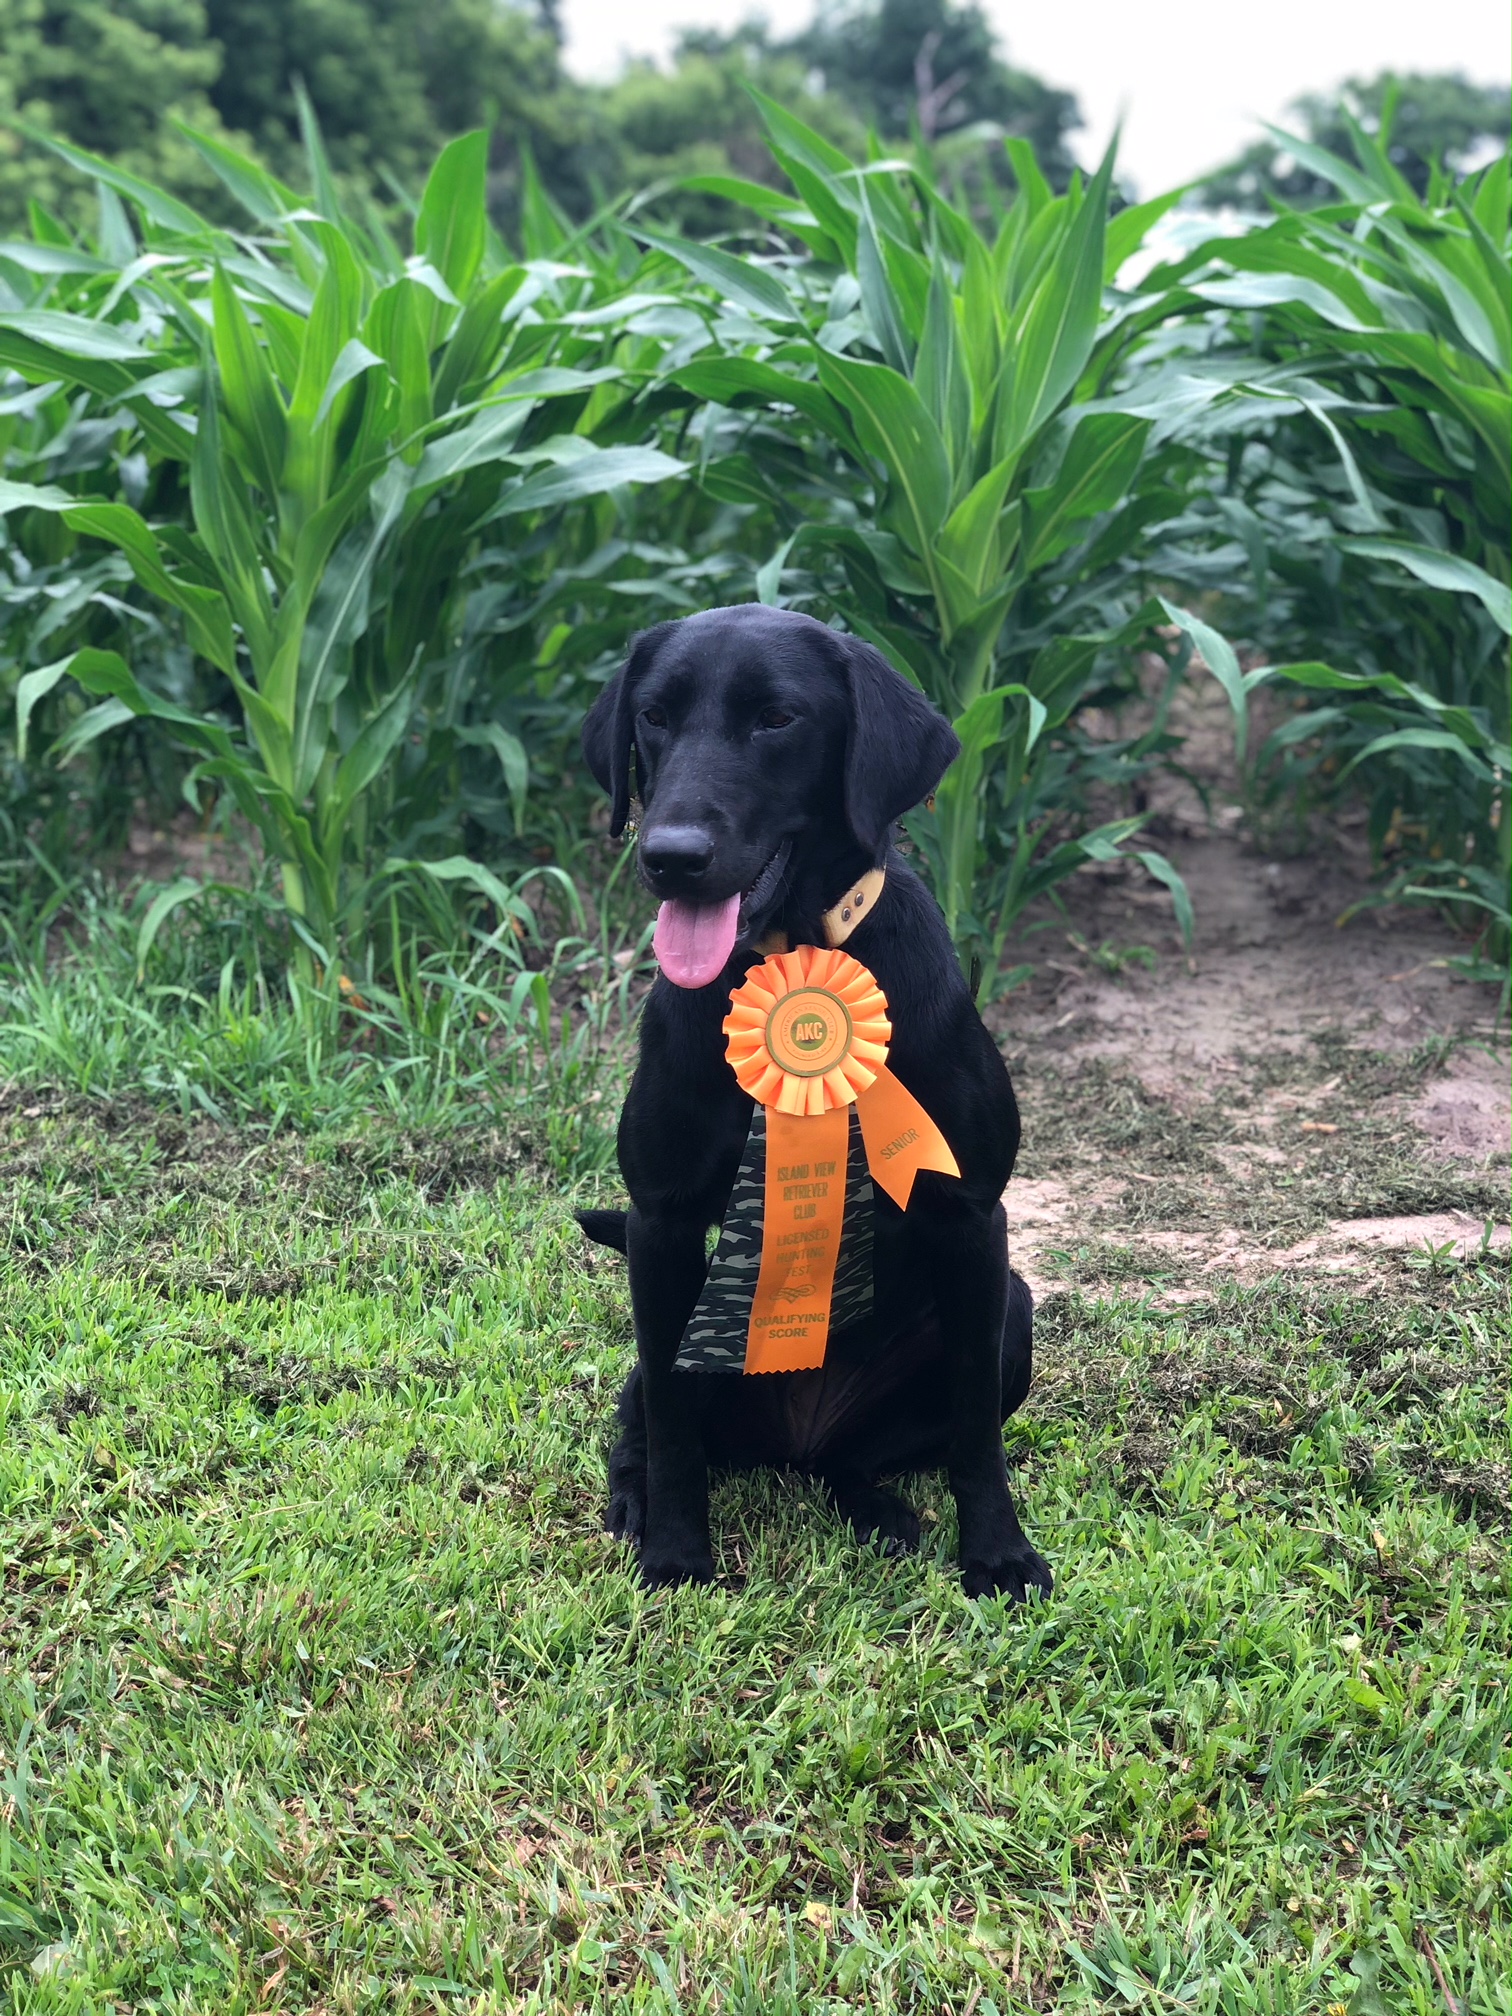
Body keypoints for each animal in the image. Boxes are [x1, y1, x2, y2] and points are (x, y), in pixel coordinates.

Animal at [580, 604, 1056, 1596]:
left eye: (776, 719)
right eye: (654, 716)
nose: (669, 857)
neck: (791, 950)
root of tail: (794, 1441)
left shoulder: (972, 1216)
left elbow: (974, 1434)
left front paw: (998, 1556)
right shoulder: (661, 1221)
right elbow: (673, 1433)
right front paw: (676, 1555)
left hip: (1014, 1310)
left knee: (855, 1462)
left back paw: (880, 1511)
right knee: (645, 1420)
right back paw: (635, 1506)